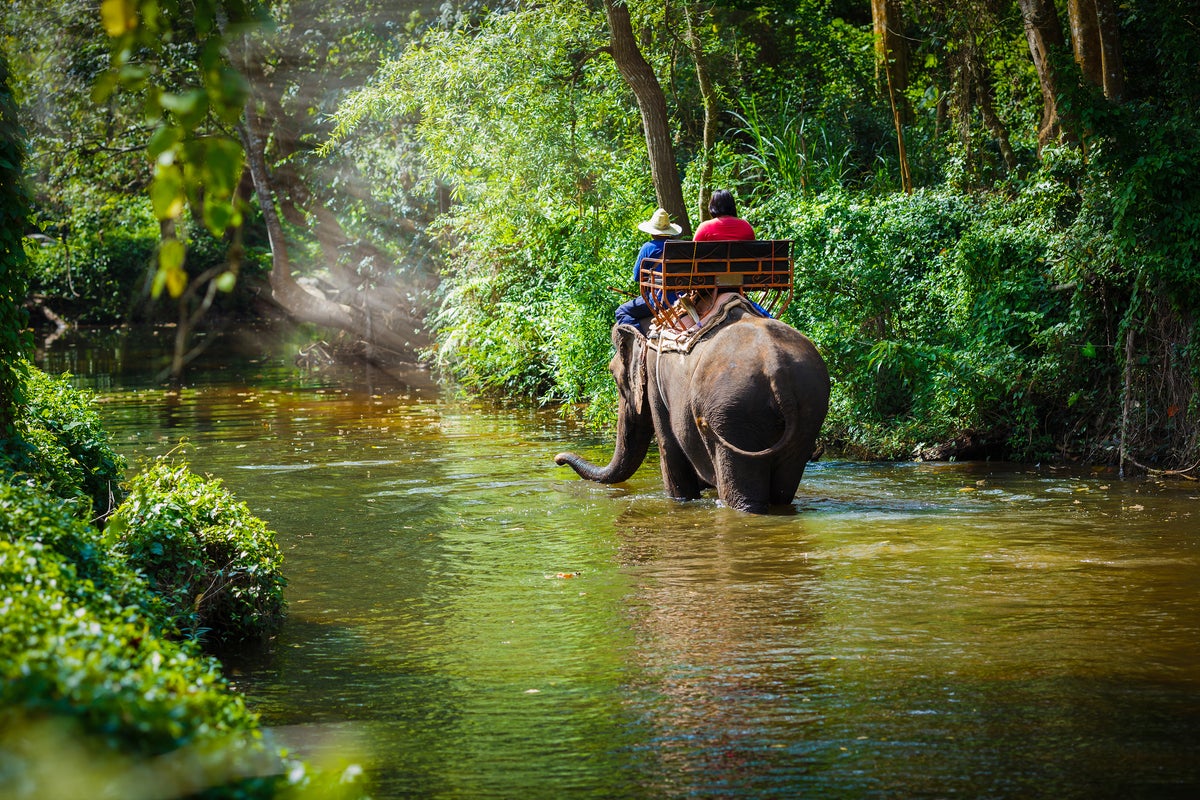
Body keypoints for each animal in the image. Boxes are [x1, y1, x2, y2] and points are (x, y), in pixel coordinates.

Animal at [555, 297, 830, 513]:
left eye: (614, 376)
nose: (558, 459)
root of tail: (776, 369)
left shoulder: (655, 381)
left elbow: (669, 448)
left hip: (734, 414)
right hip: (808, 410)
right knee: (783, 490)